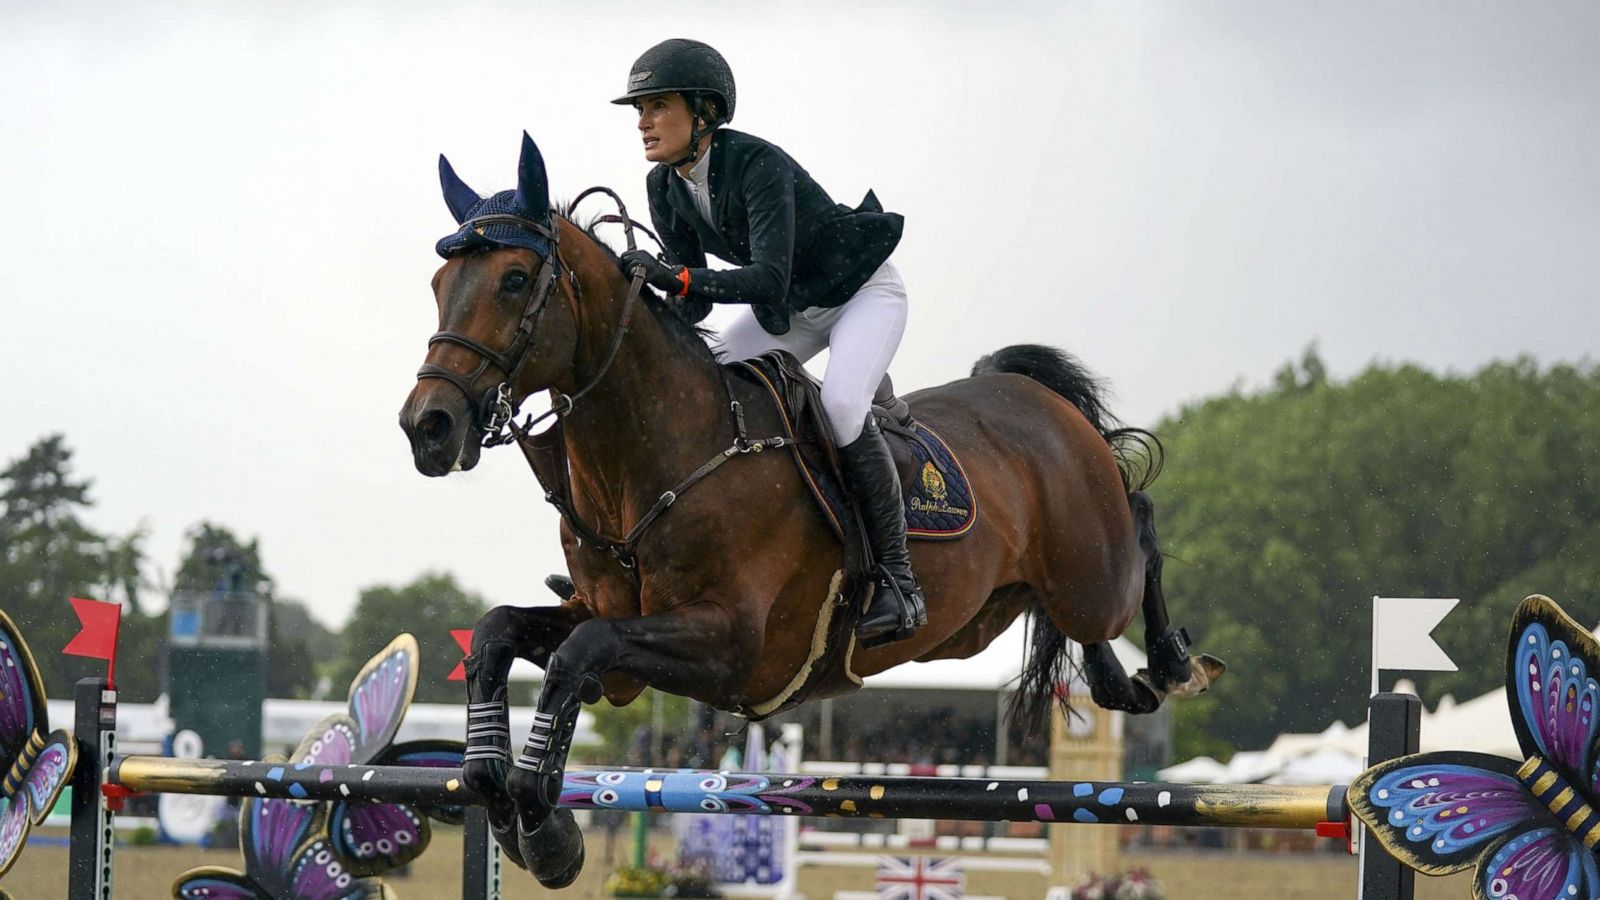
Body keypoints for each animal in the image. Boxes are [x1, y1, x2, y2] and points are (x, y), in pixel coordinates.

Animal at [400, 132, 1222, 883]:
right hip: (991, 613)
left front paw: (544, 828)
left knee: (1139, 524)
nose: (427, 427)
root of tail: (1031, 395)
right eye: (439, 283)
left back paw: (1173, 663)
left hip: (1092, 568)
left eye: (513, 279)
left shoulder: (733, 646)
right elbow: (501, 634)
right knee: (1075, 614)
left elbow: (579, 653)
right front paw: (499, 788)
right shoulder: (610, 624)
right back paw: (1117, 680)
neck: (659, 458)